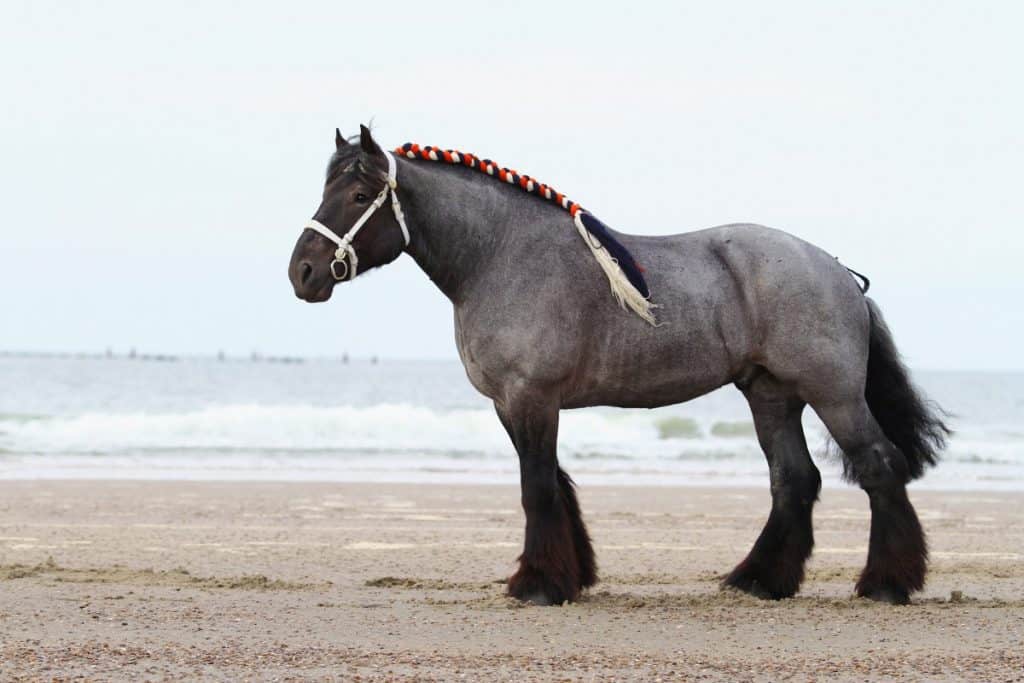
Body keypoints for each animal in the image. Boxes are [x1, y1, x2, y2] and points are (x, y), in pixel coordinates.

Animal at [284, 125, 946, 606]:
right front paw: (568, 575)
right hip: (771, 395)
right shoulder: (510, 405)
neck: (500, 255)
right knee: (793, 480)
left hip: (833, 394)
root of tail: (836, 270)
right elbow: (555, 483)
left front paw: (538, 585)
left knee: (879, 466)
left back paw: (887, 584)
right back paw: (760, 580)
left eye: (360, 196)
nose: (304, 273)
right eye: (325, 192)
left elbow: (537, 487)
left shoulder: (532, 397)